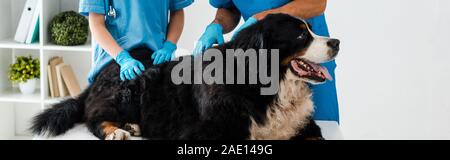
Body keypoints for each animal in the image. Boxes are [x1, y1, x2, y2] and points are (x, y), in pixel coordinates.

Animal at [30, 14, 338, 141]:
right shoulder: (210, 130)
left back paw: (132, 126)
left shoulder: (303, 125)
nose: (336, 42)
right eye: (301, 35)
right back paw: (117, 130)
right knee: (94, 118)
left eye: (311, 29)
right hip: (128, 87)